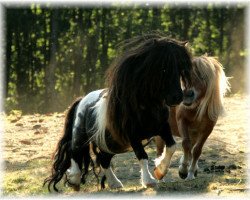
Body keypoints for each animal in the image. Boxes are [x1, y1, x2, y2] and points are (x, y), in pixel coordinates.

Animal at [43, 34, 193, 192]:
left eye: (180, 69)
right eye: (163, 69)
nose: (177, 97)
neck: (146, 106)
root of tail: (81, 100)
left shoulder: (162, 128)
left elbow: (172, 147)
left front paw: (159, 171)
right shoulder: (133, 136)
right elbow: (142, 156)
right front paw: (149, 181)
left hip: (112, 145)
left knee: (103, 159)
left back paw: (114, 183)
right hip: (81, 137)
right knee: (74, 152)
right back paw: (74, 180)